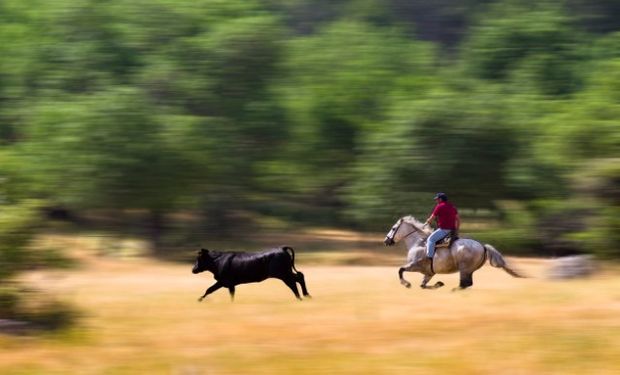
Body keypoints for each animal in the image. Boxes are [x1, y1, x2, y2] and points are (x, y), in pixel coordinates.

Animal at [382, 217, 524, 290]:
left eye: (393, 228)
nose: (386, 241)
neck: (418, 243)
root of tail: (482, 246)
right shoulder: (429, 273)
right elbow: (423, 285)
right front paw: (439, 284)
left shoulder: (414, 266)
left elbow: (400, 270)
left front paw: (406, 284)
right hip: (468, 270)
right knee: (467, 284)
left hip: (464, 269)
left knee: (464, 284)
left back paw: (453, 290)